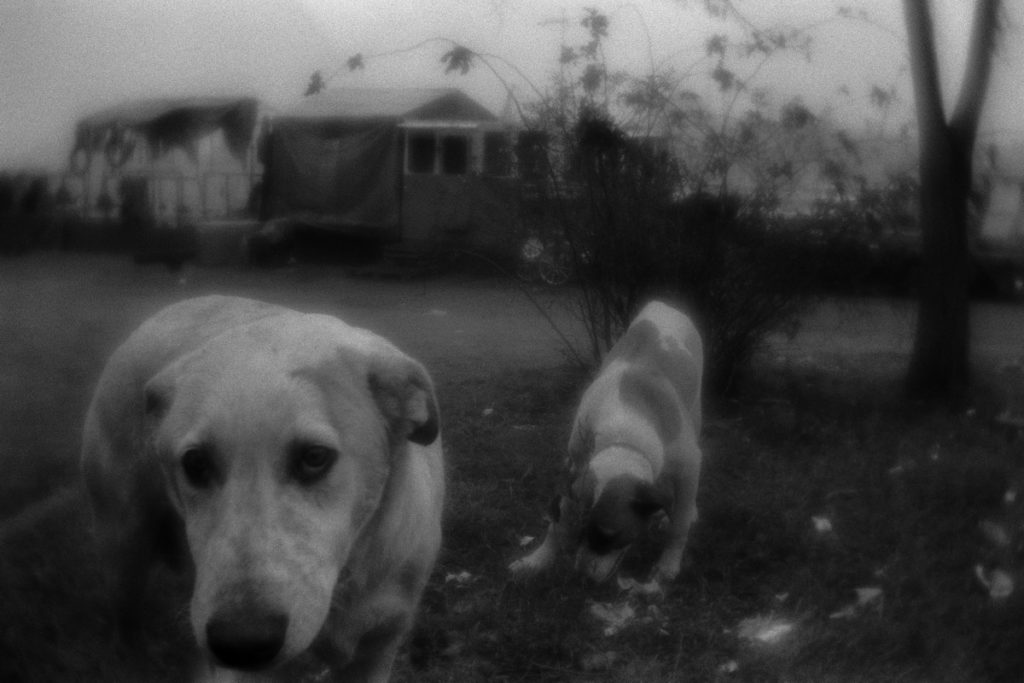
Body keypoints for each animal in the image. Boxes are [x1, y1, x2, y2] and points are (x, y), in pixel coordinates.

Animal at [80, 296, 444, 679]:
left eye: (315, 457)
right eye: (195, 463)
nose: (241, 644)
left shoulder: (377, 651)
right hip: (123, 552)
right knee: (126, 635)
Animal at [507, 301, 700, 585]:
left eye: (610, 536)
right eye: (578, 530)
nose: (583, 578)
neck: (623, 437)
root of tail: (662, 304)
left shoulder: (689, 468)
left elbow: (680, 523)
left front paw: (668, 566)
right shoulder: (574, 468)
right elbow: (556, 522)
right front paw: (537, 560)